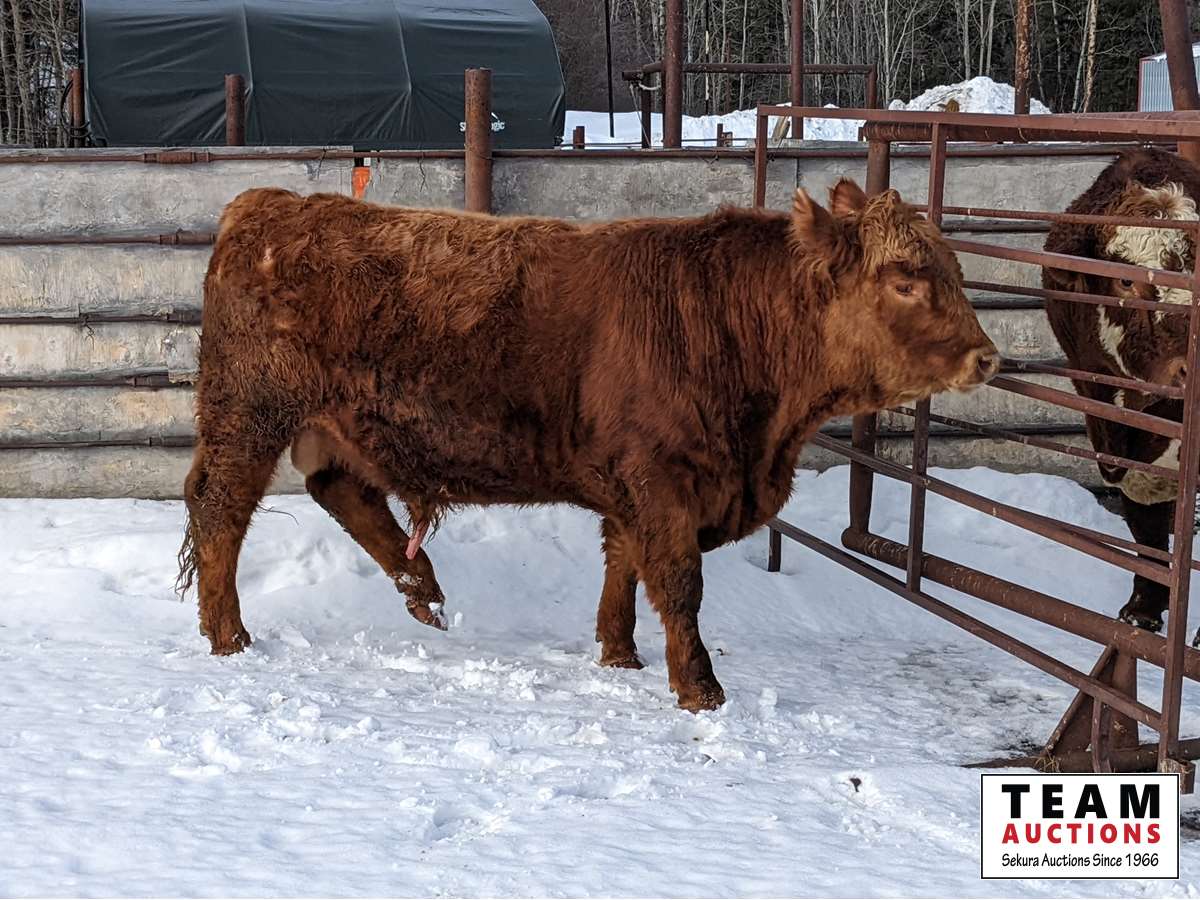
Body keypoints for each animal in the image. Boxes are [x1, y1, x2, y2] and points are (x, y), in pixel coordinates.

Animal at [177, 180, 999, 711]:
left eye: (953, 271)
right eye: (904, 280)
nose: (986, 357)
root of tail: (267, 204)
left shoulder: (632, 484)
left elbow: (623, 564)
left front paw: (619, 655)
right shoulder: (662, 480)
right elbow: (678, 582)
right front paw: (699, 689)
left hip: (327, 424)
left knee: (339, 489)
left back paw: (424, 591)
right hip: (249, 414)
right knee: (221, 509)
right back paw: (229, 636)